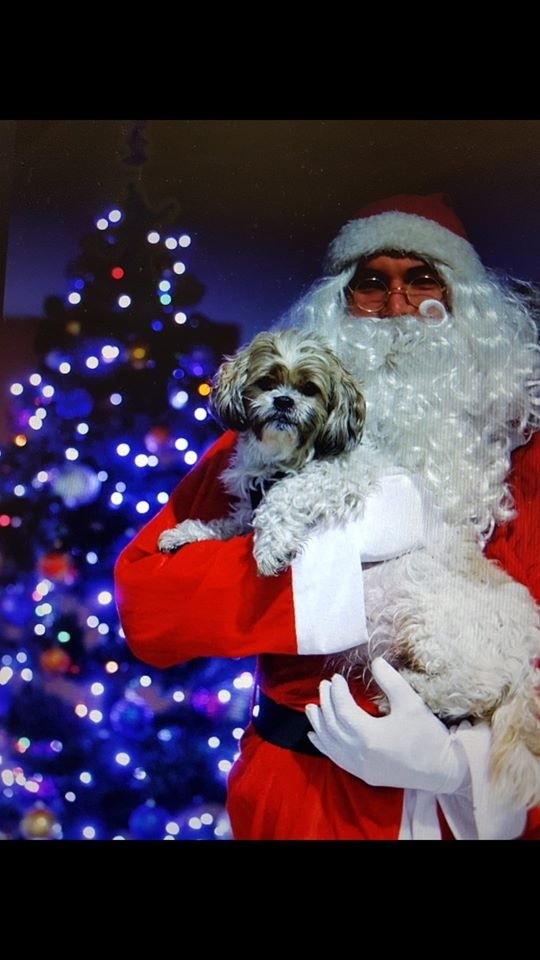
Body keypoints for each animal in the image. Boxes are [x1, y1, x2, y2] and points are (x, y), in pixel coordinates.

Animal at [156, 324, 540, 808]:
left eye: (309, 389)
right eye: (267, 381)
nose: (284, 402)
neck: (288, 459)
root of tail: (528, 646)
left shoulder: (343, 478)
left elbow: (286, 496)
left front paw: (270, 545)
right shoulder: (245, 509)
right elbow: (230, 524)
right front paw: (187, 533)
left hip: (429, 610)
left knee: (479, 684)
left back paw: (414, 693)